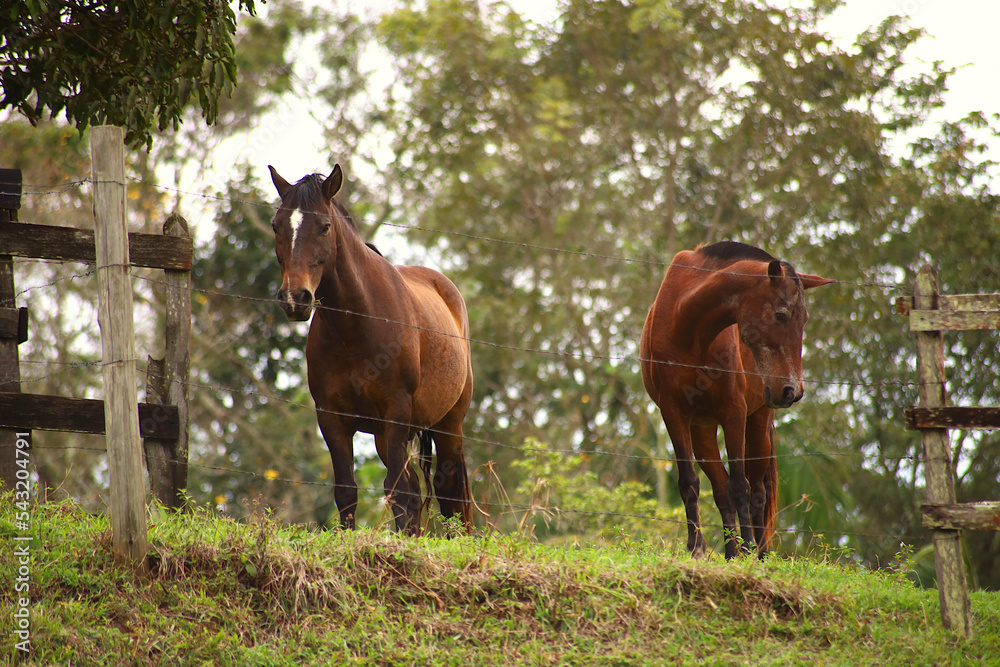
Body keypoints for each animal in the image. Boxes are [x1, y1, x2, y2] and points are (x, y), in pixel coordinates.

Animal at [267, 163, 474, 535]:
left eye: (325, 226)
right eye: (277, 225)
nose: (295, 298)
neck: (355, 327)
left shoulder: (396, 410)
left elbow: (397, 490)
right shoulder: (332, 417)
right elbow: (348, 490)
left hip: (447, 425)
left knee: (449, 493)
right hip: (385, 434)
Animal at [640, 241, 833, 559]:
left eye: (804, 319)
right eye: (781, 315)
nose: (792, 391)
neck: (689, 328)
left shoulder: (734, 410)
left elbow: (741, 486)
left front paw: (748, 548)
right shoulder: (672, 411)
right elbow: (690, 482)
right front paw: (697, 548)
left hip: (756, 426)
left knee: (758, 492)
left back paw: (760, 553)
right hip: (703, 431)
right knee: (720, 489)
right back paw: (731, 551)